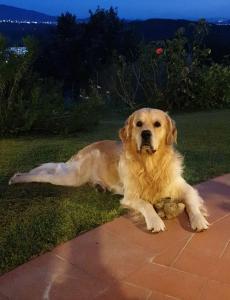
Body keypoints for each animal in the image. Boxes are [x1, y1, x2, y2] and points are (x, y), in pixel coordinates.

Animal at [9, 108, 209, 232]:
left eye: (157, 124)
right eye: (138, 124)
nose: (145, 134)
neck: (150, 164)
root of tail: (85, 147)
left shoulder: (185, 188)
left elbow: (191, 203)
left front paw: (199, 220)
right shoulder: (130, 195)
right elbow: (146, 204)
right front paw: (155, 221)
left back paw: (100, 187)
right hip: (72, 176)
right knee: (44, 174)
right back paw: (17, 177)